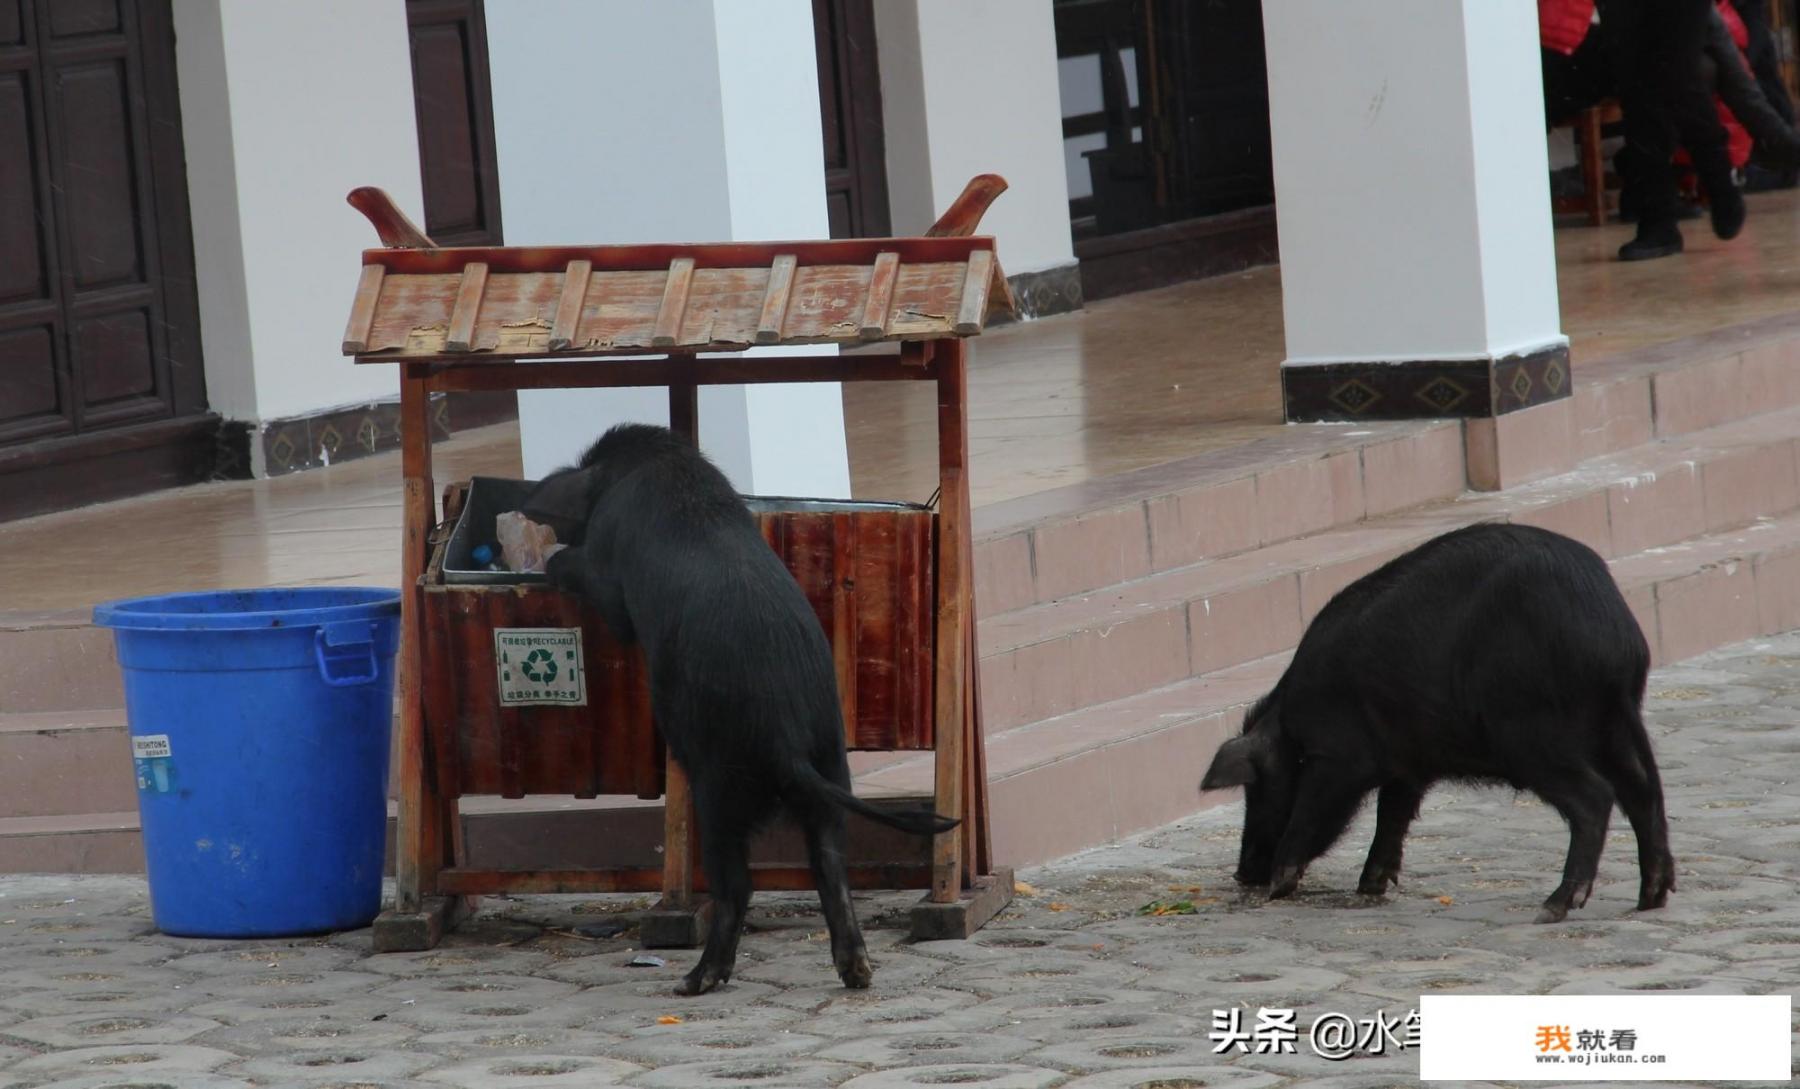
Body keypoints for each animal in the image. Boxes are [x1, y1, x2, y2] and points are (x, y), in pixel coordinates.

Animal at [518, 423, 957, 993]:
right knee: (830, 866)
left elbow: (599, 591)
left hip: (717, 785)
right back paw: (857, 973)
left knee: (737, 885)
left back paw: (694, 981)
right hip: (829, 764)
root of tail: (784, 734)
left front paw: (553, 560)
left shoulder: (613, 587)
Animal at [1195, 522, 1670, 921]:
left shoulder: (1336, 757)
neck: (1292, 724)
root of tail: (1615, 643)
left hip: (1533, 733)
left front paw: (1280, 886)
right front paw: (1370, 886)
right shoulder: (1407, 764)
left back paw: (1552, 908)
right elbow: (1392, 815)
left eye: (1257, 788)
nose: (1243, 873)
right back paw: (1650, 899)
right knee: (1643, 793)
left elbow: (1316, 812)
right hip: (1611, 729)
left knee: (1596, 797)